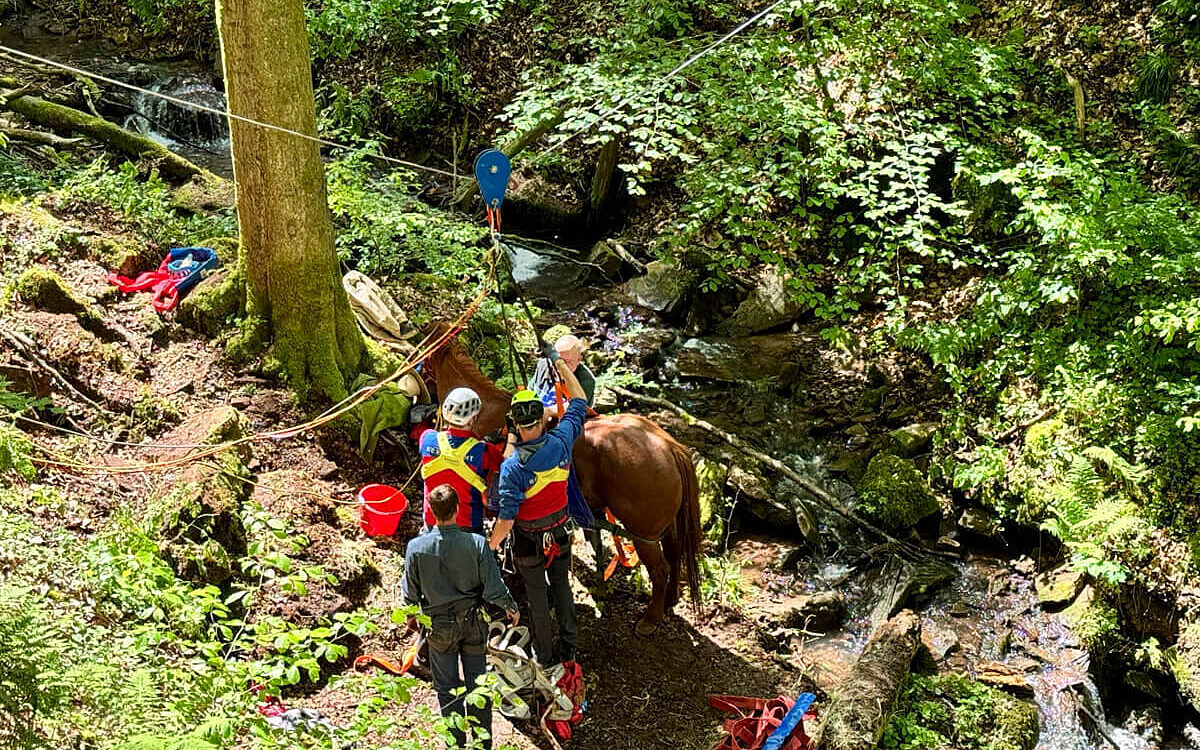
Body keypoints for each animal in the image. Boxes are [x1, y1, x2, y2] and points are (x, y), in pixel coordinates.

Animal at [424, 325, 702, 634]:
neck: (487, 417)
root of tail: (669, 447)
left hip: (643, 532)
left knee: (661, 567)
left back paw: (650, 617)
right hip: (665, 524)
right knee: (675, 552)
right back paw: (669, 600)